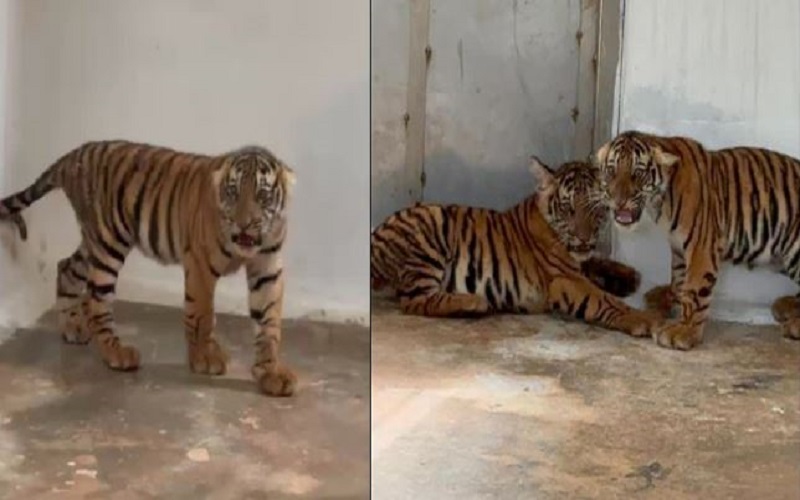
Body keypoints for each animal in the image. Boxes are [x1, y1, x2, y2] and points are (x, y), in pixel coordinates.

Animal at [0, 140, 297, 396]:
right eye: (233, 192)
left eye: (262, 195)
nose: (243, 224)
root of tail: (74, 154)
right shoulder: (200, 263)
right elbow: (201, 314)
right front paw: (205, 358)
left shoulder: (268, 268)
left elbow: (269, 323)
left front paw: (271, 373)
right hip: (108, 244)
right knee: (97, 300)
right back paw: (116, 354)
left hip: (91, 243)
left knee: (66, 267)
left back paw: (72, 327)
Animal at [370, 157, 658, 338]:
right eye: (568, 209)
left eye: (596, 210)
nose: (585, 239)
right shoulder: (564, 280)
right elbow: (605, 300)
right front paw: (646, 320)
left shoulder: (578, 265)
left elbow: (597, 264)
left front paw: (629, 276)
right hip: (429, 228)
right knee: (415, 301)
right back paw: (473, 303)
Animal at [594, 130, 800, 350]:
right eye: (611, 171)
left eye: (637, 173)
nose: (618, 200)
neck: (659, 201)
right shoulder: (678, 247)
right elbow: (678, 280)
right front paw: (668, 299)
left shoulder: (701, 245)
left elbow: (694, 288)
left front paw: (684, 331)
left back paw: (793, 324)